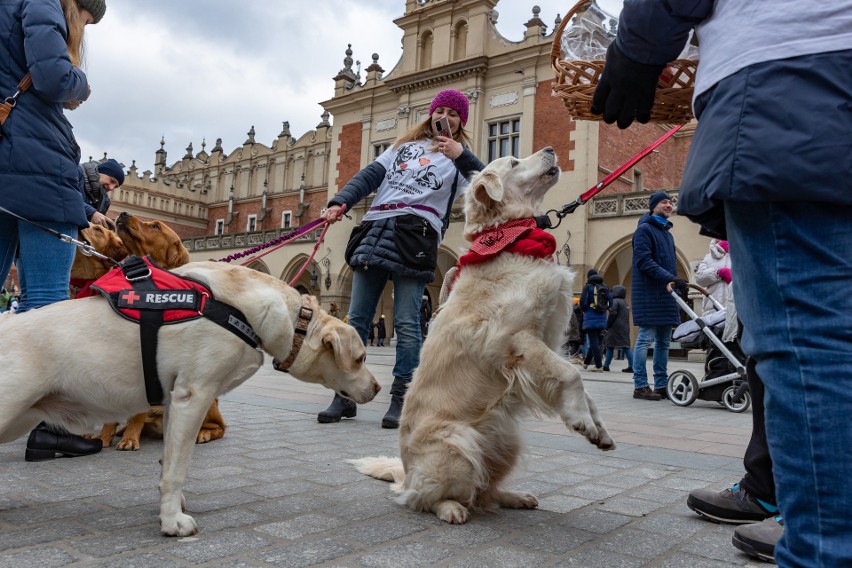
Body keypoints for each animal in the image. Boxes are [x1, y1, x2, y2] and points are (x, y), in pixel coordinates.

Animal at [350, 148, 616, 524]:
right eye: (514, 162)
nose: (551, 150)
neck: (508, 237)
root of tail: (406, 474)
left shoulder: (547, 340)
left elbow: (581, 386)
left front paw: (600, 430)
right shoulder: (514, 339)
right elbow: (571, 374)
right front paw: (582, 422)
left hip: (506, 442)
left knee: (484, 490)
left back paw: (515, 496)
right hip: (459, 446)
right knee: (427, 498)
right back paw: (450, 508)